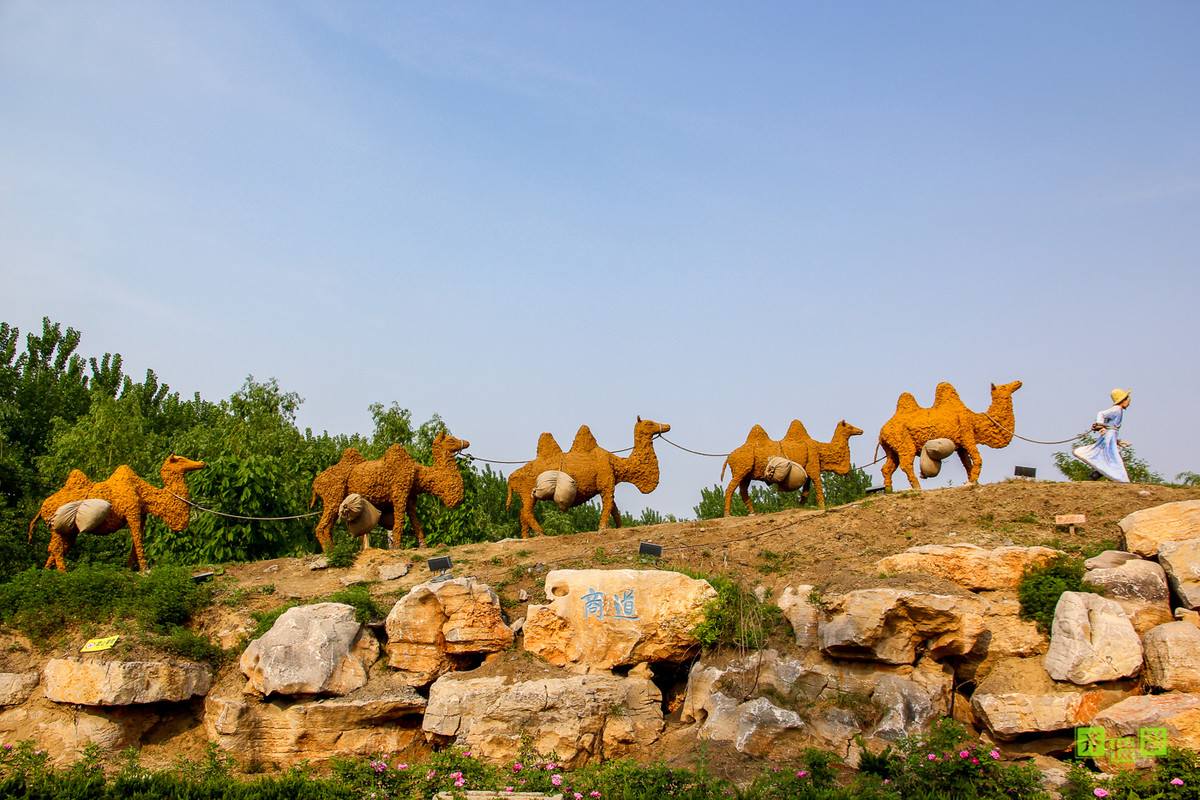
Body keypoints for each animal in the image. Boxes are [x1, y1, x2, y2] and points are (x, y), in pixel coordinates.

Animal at [29, 453, 206, 573]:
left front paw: (129, 569)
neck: (144, 494)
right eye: (180, 459)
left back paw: (46, 572)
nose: (202, 462)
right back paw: (64, 573)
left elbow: (136, 542)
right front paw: (145, 569)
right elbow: (138, 540)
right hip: (58, 527)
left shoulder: (140, 514)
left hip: (68, 531)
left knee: (56, 547)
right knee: (56, 548)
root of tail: (42, 507)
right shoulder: (132, 511)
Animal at [309, 431, 468, 551]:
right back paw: (329, 552)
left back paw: (332, 550)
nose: (466, 443)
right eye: (451, 440)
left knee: (328, 528)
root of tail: (315, 483)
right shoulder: (399, 492)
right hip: (333, 496)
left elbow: (416, 523)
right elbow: (400, 521)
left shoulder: (410, 497)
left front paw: (423, 546)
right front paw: (397, 547)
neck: (418, 474)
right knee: (321, 528)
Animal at [506, 419, 676, 537]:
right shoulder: (606, 482)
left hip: (526, 495)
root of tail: (511, 477)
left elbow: (614, 507)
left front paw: (620, 527)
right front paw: (602, 529)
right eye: (649, 423)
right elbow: (608, 506)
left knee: (522, 513)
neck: (617, 463)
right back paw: (541, 534)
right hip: (528, 492)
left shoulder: (609, 483)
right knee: (526, 512)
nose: (667, 426)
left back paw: (526, 537)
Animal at [720, 417, 864, 515]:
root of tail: (728, 457)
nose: (861, 430)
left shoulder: (807, 470)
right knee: (730, 488)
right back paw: (727, 514)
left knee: (742, 491)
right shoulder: (813, 464)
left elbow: (806, 491)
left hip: (746, 475)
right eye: (849, 426)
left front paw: (801, 507)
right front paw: (823, 506)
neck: (822, 449)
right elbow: (818, 486)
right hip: (741, 470)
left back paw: (752, 512)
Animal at [873, 381, 1022, 491]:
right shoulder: (967, 434)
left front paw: (972, 481)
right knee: (906, 464)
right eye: (1004, 386)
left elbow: (967, 463)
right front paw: (974, 481)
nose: (1018, 382)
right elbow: (977, 458)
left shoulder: (960, 446)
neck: (975, 420)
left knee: (887, 468)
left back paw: (888, 490)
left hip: (891, 448)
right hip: (904, 443)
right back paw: (916, 487)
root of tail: (882, 432)